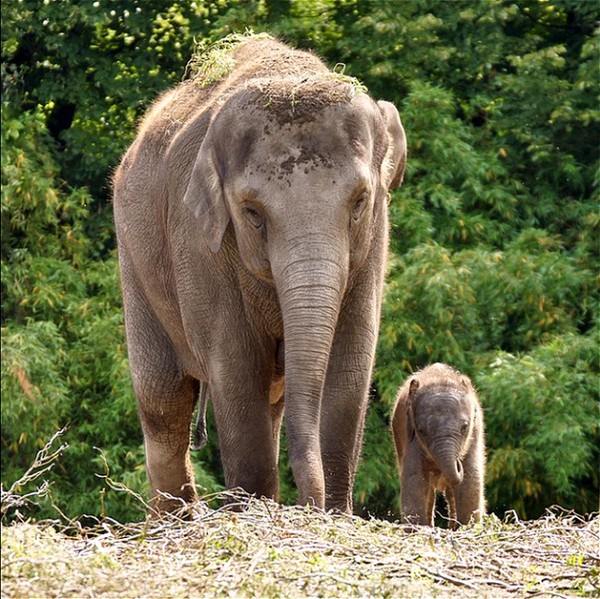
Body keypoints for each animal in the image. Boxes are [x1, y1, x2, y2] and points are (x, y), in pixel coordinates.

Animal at [113, 35, 408, 512]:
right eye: (252, 213)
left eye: (361, 201)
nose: (311, 505)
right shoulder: (198, 244)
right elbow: (236, 369)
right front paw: (252, 511)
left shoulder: (374, 245)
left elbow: (349, 367)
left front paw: (335, 513)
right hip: (133, 259)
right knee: (163, 401)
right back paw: (179, 519)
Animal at [392, 364, 486, 528]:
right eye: (421, 430)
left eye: (465, 427)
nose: (457, 462)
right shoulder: (410, 437)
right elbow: (414, 479)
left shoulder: (475, 433)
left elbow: (470, 480)